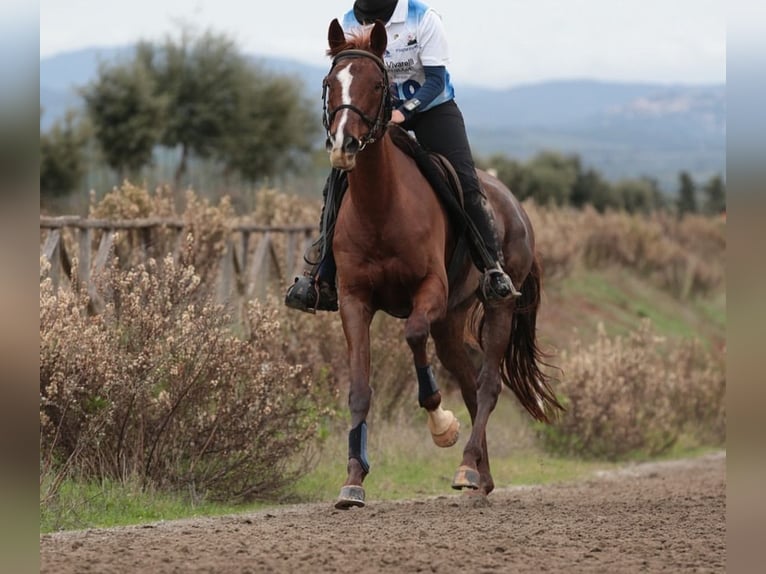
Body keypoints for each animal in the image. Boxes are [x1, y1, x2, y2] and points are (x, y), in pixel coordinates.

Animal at [324, 19, 564, 512]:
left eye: (376, 84)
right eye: (329, 83)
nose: (344, 145)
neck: (381, 205)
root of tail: (516, 206)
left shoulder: (427, 290)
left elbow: (414, 337)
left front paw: (441, 425)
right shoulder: (355, 300)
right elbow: (359, 387)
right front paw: (353, 481)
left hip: (497, 306)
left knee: (488, 383)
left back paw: (468, 465)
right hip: (452, 319)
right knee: (470, 382)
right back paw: (479, 477)